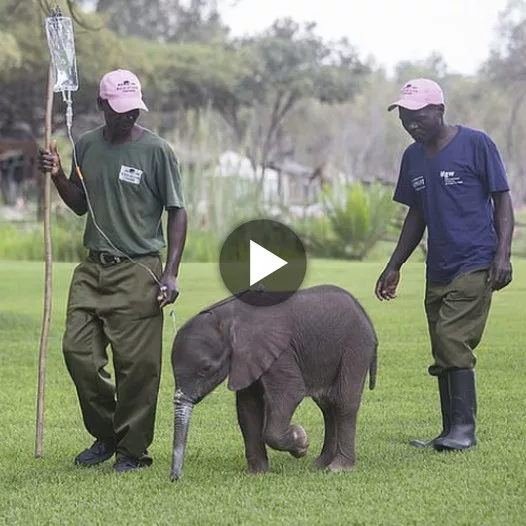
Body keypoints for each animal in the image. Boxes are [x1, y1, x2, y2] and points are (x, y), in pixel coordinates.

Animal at [172, 284, 380, 482]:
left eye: (205, 369)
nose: (175, 478)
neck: (227, 318)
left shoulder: (279, 352)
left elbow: (290, 392)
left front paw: (301, 441)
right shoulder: (248, 358)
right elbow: (248, 408)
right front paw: (257, 474)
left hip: (356, 347)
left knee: (343, 402)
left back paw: (338, 468)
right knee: (327, 406)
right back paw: (320, 464)